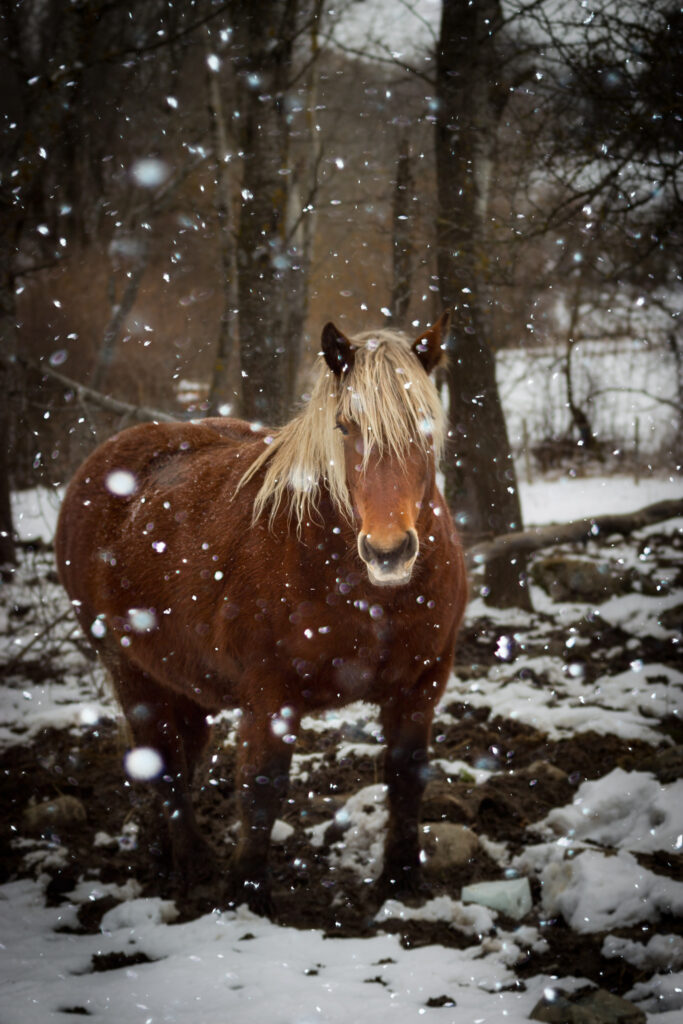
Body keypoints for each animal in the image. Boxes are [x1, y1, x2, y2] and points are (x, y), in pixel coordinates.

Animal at [55, 312, 468, 915]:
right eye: (345, 427)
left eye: (425, 426)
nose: (388, 552)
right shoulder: (270, 697)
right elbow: (263, 788)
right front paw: (247, 894)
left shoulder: (420, 686)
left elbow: (406, 776)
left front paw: (402, 880)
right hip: (129, 670)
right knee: (162, 763)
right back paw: (194, 865)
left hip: (182, 682)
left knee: (177, 758)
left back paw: (162, 855)